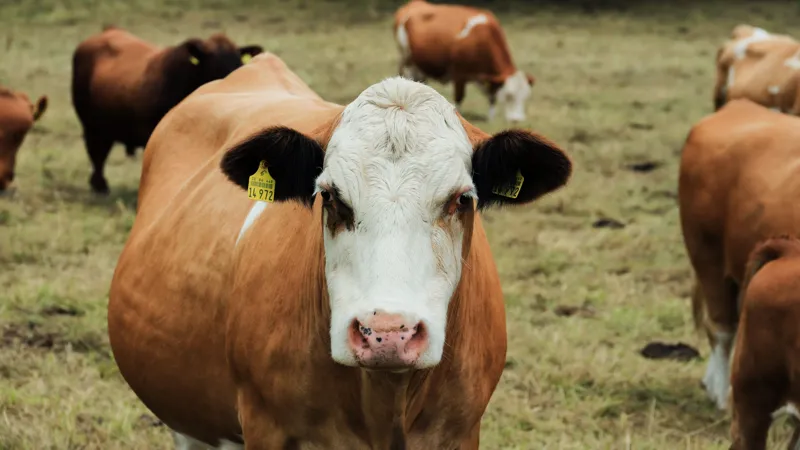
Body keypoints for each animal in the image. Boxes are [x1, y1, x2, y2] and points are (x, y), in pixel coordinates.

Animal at [393, 0, 535, 123]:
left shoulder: (486, 77)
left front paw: (491, 119)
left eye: (526, 96)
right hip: (407, 60)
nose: (517, 120)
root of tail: (415, 4)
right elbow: (459, 98)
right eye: (509, 95)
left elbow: (492, 96)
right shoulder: (459, 74)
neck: (480, 38)